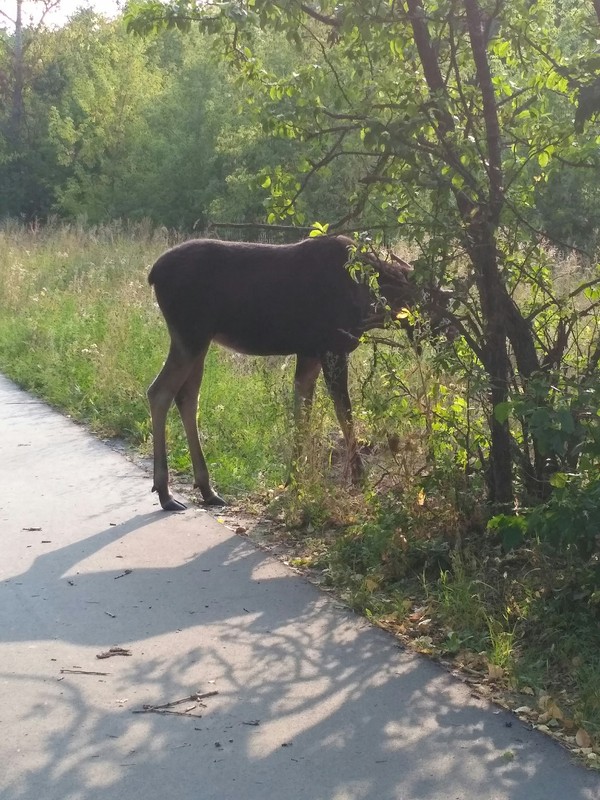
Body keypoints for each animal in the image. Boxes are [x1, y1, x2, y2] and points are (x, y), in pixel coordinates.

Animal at [146, 236, 432, 512]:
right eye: (430, 298)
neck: (370, 302)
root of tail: (153, 274)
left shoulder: (310, 353)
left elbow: (302, 413)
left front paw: (293, 480)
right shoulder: (333, 348)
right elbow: (344, 413)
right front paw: (359, 478)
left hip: (199, 341)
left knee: (187, 397)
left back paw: (206, 488)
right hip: (190, 335)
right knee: (159, 392)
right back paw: (165, 492)